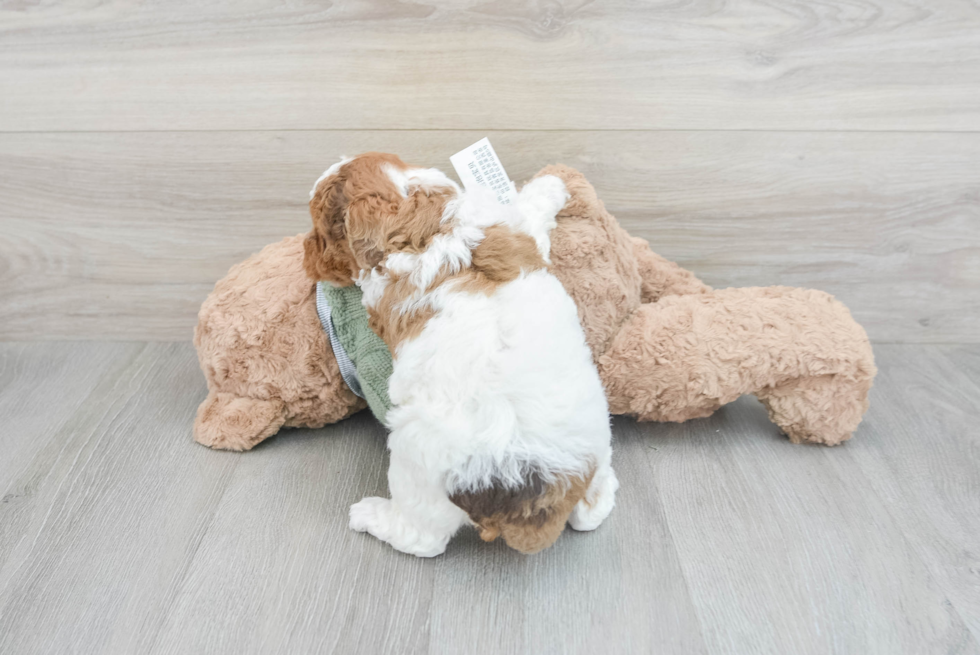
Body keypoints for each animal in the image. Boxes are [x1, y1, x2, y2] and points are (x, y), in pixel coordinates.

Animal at [302, 154, 616, 560]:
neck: (419, 216)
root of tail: (528, 492)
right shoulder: (516, 232)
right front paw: (554, 186)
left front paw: (552, 183)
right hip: (595, 439)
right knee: (591, 509)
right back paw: (604, 493)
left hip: (415, 466)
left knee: (423, 539)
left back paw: (369, 516)